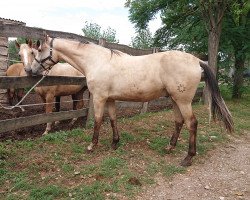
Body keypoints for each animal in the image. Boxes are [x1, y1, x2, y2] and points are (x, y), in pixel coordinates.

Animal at [27, 34, 232, 166]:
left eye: (39, 49)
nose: (30, 71)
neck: (97, 61)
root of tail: (197, 60)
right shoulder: (110, 99)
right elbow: (112, 119)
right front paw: (114, 143)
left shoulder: (99, 98)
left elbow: (98, 121)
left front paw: (92, 145)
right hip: (175, 100)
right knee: (179, 121)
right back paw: (170, 147)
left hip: (183, 101)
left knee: (192, 123)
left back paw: (188, 158)